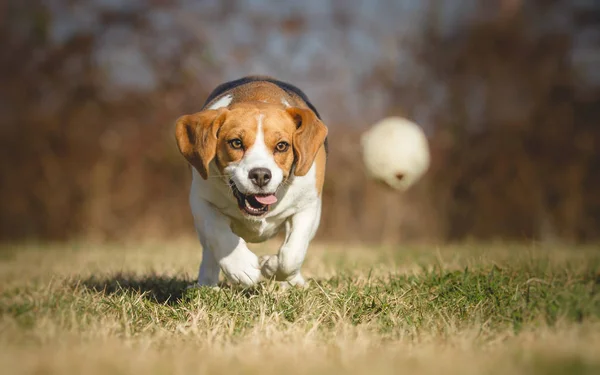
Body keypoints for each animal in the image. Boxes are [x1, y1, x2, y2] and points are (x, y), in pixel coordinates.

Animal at [176, 76, 328, 288]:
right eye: (236, 143)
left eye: (282, 146)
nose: (261, 175)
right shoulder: (201, 201)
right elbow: (217, 231)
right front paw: (241, 267)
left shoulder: (308, 206)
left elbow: (292, 254)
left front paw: (271, 266)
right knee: (209, 250)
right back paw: (206, 283)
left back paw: (293, 282)